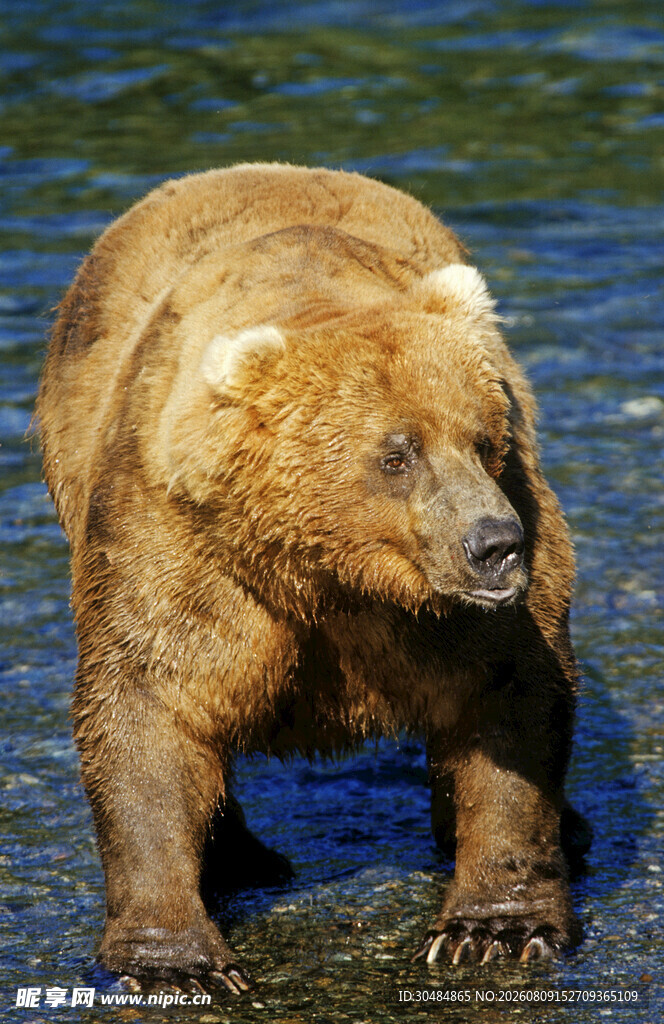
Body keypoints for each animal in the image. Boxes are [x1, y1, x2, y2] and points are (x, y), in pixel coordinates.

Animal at [37, 163, 588, 993]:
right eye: (396, 454)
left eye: (482, 438)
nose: (495, 544)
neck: (332, 571)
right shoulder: (179, 537)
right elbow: (149, 703)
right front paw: (178, 963)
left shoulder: (481, 580)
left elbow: (512, 690)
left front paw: (493, 928)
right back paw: (238, 857)